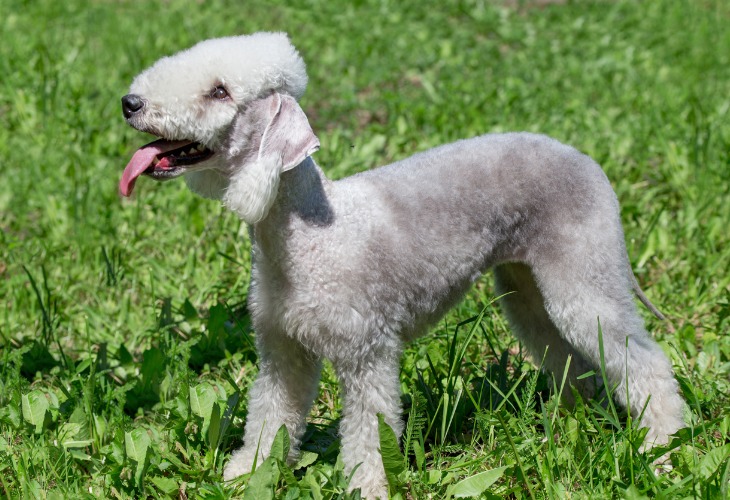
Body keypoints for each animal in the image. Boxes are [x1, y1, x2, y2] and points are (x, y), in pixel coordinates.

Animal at [118, 33, 684, 498]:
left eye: (220, 92)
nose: (130, 103)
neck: (311, 235)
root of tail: (586, 160)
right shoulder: (283, 352)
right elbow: (271, 416)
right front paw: (247, 473)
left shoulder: (367, 351)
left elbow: (370, 433)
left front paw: (365, 487)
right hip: (528, 291)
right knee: (571, 361)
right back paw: (568, 428)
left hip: (584, 280)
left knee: (647, 365)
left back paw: (662, 451)